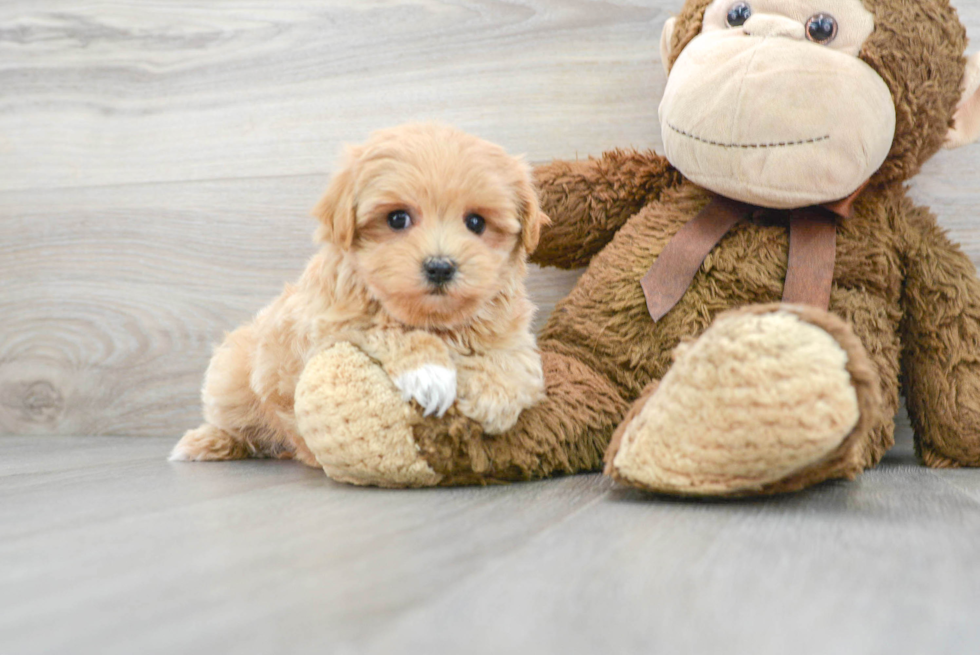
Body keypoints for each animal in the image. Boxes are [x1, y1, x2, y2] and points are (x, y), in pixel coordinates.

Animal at [171, 124, 548, 472]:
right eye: (397, 218)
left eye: (476, 223)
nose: (440, 267)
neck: (433, 319)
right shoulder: (329, 324)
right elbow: (388, 328)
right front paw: (430, 372)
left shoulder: (511, 329)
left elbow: (516, 360)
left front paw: (495, 394)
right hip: (231, 375)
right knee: (235, 421)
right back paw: (207, 441)